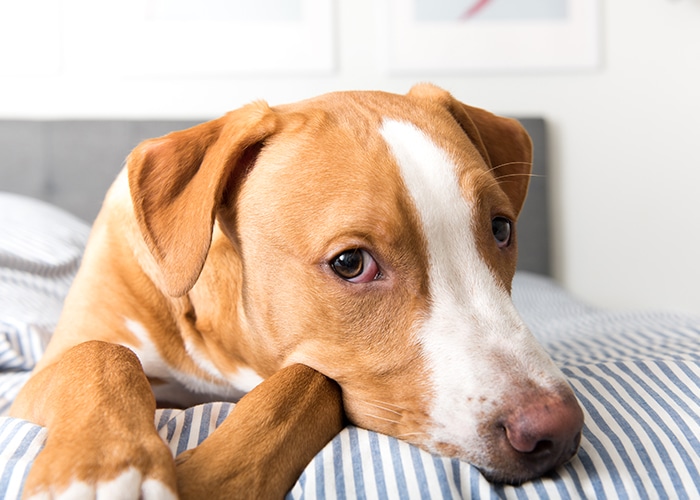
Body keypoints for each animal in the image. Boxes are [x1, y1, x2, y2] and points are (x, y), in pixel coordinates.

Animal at [9, 84, 584, 498]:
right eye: (350, 263)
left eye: (501, 229)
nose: (556, 430)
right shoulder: (40, 378)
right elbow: (100, 355)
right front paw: (98, 468)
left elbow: (305, 381)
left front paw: (213, 477)